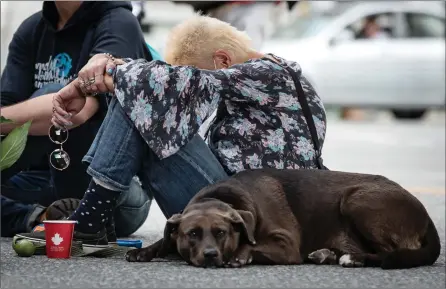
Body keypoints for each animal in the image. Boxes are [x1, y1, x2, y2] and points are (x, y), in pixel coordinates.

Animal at [125, 168, 440, 266]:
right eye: (192, 234)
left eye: (221, 232)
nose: (211, 255)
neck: (226, 196)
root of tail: (426, 215)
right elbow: (166, 240)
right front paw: (146, 251)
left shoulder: (286, 244)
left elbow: (251, 243)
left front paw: (240, 255)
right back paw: (328, 253)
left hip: (357, 200)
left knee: (390, 252)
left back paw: (352, 258)